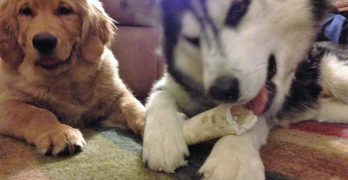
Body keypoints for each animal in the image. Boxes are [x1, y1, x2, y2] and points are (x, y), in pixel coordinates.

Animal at [0, 0, 145, 155]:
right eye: (25, 11)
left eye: (65, 10)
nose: (44, 42)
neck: (64, 75)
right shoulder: (7, 103)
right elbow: (36, 113)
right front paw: (58, 132)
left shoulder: (116, 95)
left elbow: (133, 106)